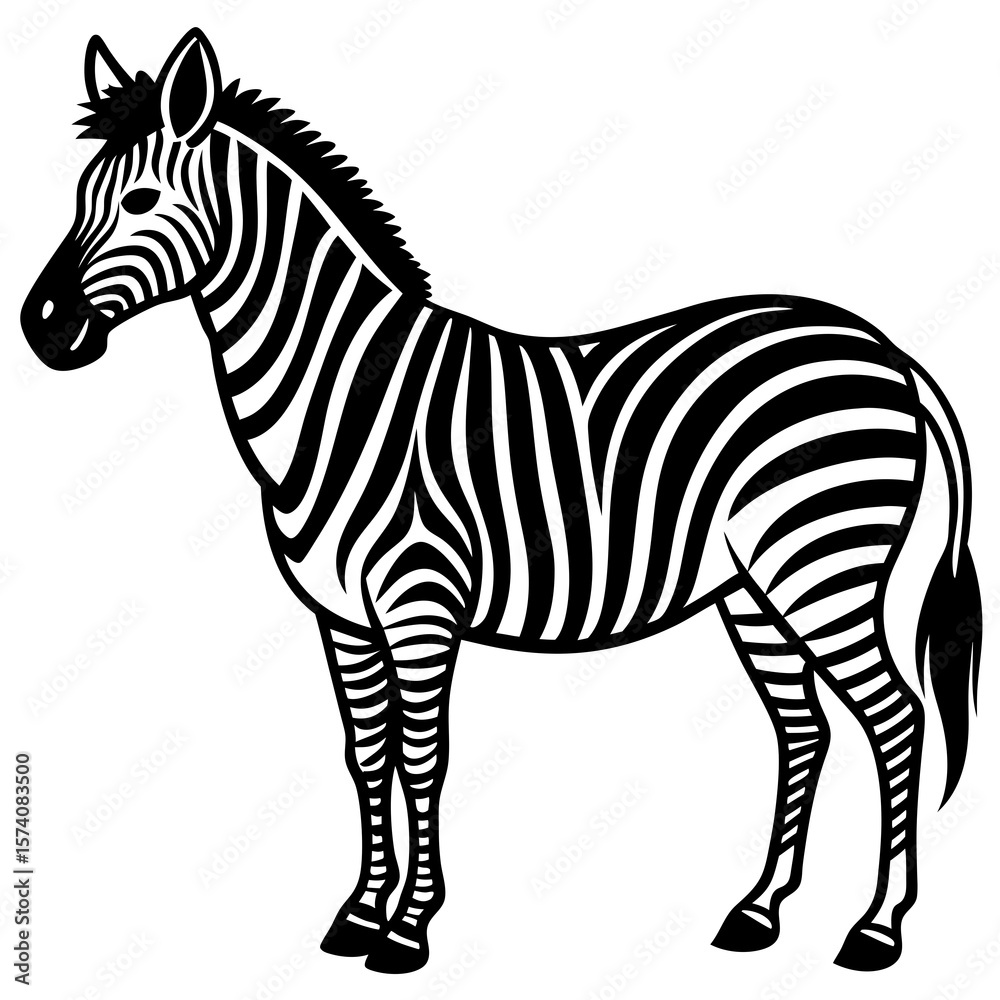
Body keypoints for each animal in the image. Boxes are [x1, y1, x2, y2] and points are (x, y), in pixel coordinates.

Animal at [21, 29, 981, 975]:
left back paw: (877, 931)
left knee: (896, 719)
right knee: (803, 729)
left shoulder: (420, 600)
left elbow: (422, 754)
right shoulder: (343, 616)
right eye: (78, 197)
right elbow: (365, 756)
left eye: (140, 198)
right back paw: (758, 912)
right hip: (753, 586)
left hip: (822, 564)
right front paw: (359, 913)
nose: (41, 328)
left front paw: (408, 930)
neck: (343, 390)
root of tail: (885, 347)